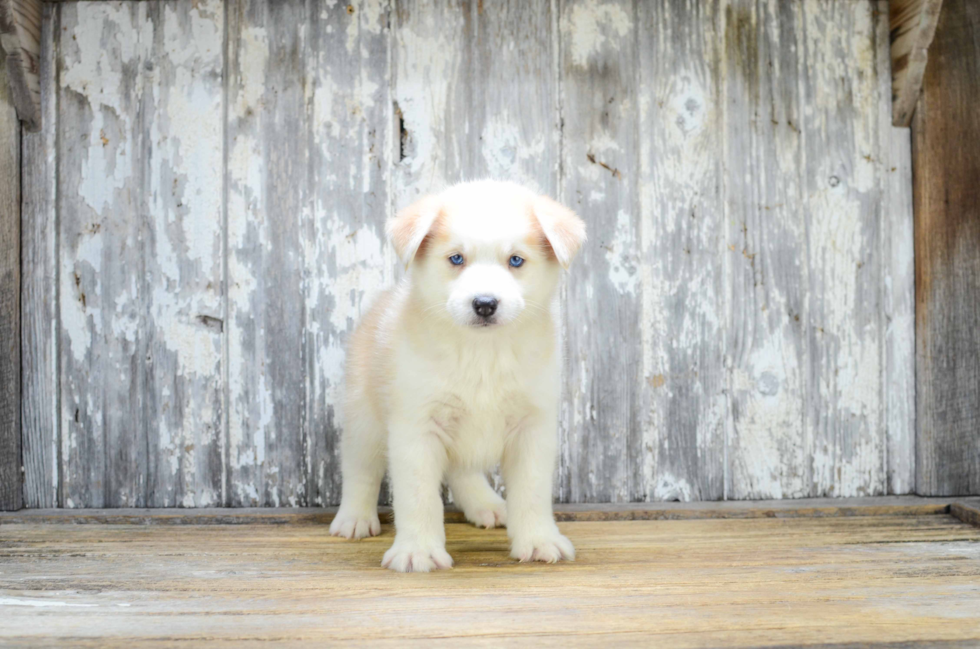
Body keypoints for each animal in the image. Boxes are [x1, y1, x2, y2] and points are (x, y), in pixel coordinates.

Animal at [330, 180, 588, 568]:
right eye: (456, 259)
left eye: (516, 260)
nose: (484, 304)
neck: (482, 353)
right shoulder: (416, 428)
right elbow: (418, 497)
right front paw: (417, 551)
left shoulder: (532, 427)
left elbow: (532, 492)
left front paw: (539, 540)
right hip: (365, 420)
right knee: (360, 469)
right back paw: (354, 519)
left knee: (462, 470)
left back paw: (487, 505)